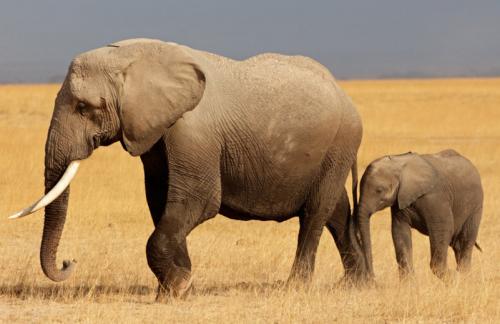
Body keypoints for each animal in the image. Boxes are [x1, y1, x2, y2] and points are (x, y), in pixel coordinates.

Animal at [9, 38, 366, 298]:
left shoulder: (192, 131)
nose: (69, 261)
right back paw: (358, 283)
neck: (134, 57)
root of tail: (346, 96)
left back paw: (296, 286)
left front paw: (177, 288)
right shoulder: (153, 131)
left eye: (85, 107)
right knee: (337, 211)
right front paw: (178, 283)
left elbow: (199, 200)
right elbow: (161, 201)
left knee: (315, 213)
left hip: (340, 143)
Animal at [358, 151, 482, 280]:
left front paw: (452, 278)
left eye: (379, 190)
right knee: (457, 245)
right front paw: (408, 283)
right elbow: (399, 232)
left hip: (476, 206)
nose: (372, 276)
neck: (399, 163)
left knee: (465, 241)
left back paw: (463, 276)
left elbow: (444, 229)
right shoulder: (400, 201)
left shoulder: (435, 197)